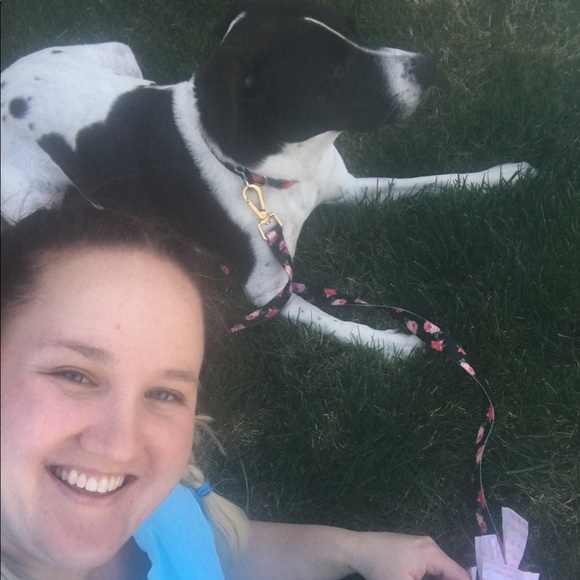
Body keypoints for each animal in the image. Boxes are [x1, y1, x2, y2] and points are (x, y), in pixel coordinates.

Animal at [1, 0, 535, 358]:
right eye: (337, 69)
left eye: (354, 29)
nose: (428, 66)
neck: (272, 167)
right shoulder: (265, 290)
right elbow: (335, 322)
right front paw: (392, 343)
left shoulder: (347, 188)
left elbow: (434, 180)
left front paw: (503, 175)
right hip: (27, 201)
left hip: (117, 53)